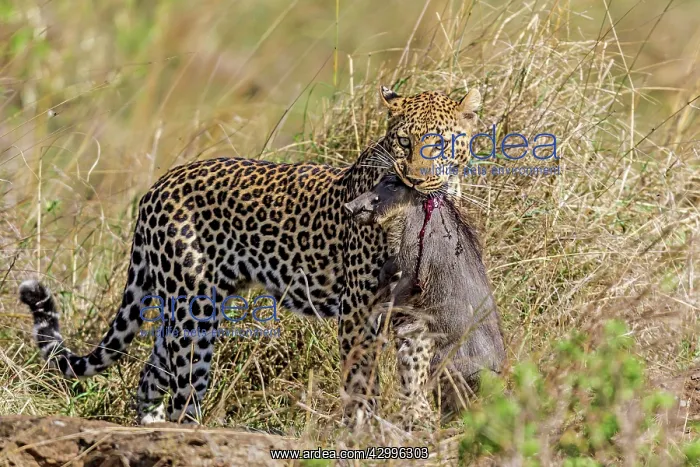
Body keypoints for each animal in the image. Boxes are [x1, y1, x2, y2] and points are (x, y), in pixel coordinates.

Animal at [18, 85, 482, 426]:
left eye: (440, 144)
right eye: (404, 141)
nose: (416, 179)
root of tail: (157, 186)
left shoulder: (416, 308)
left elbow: (415, 369)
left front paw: (417, 420)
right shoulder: (358, 309)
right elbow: (359, 378)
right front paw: (361, 429)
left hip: (188, 300)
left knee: (152, 371)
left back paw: (150, 428)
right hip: (192, 309)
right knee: (184, 391)